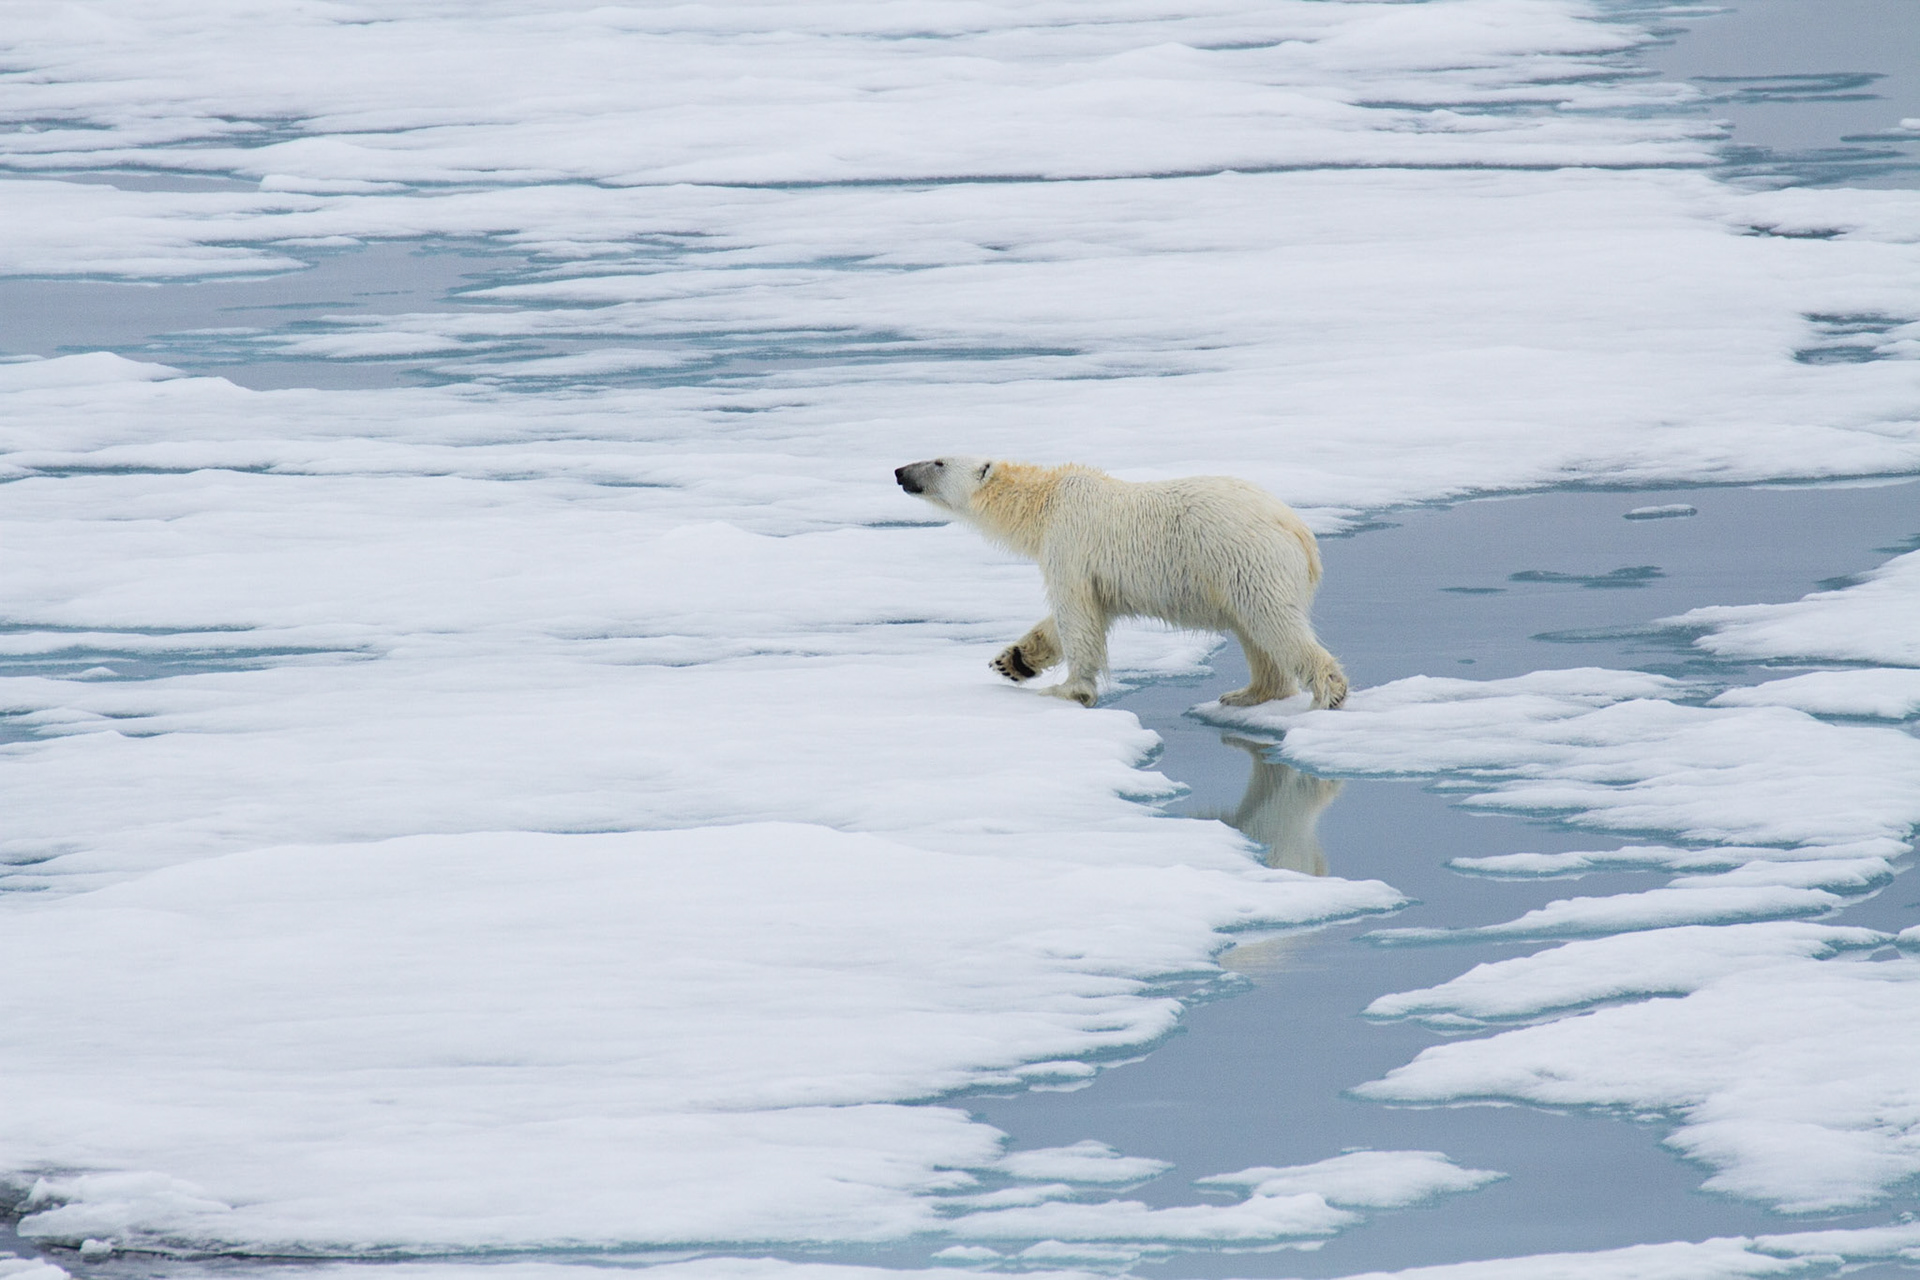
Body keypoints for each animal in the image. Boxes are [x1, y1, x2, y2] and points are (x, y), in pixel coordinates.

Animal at [894, 456, 1348, 710]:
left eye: (938, 461)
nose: (899, 471)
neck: (1046, 501)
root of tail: (1301, 533)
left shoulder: (1070, 544)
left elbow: (1076, 615)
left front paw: (1068, 691)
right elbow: (1076, 618)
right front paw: (1012, 661)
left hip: (1245, 559)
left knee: (1273, 623)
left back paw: (1330, 690)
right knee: (1255, 631)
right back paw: (1246, 694)